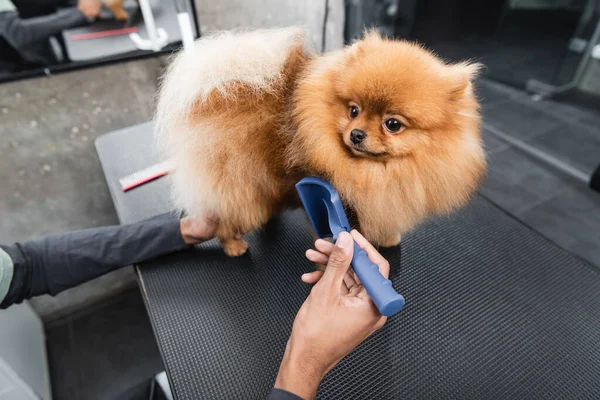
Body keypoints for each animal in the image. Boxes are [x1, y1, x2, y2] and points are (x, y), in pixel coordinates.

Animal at [156, 27, 488, 256]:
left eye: (393, 124)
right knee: (225, 219)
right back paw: (233, 246)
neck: (379, 171)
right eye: (354, 110)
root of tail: (217, 92)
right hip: (243, 192)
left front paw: (387, 239)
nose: (356, 134)